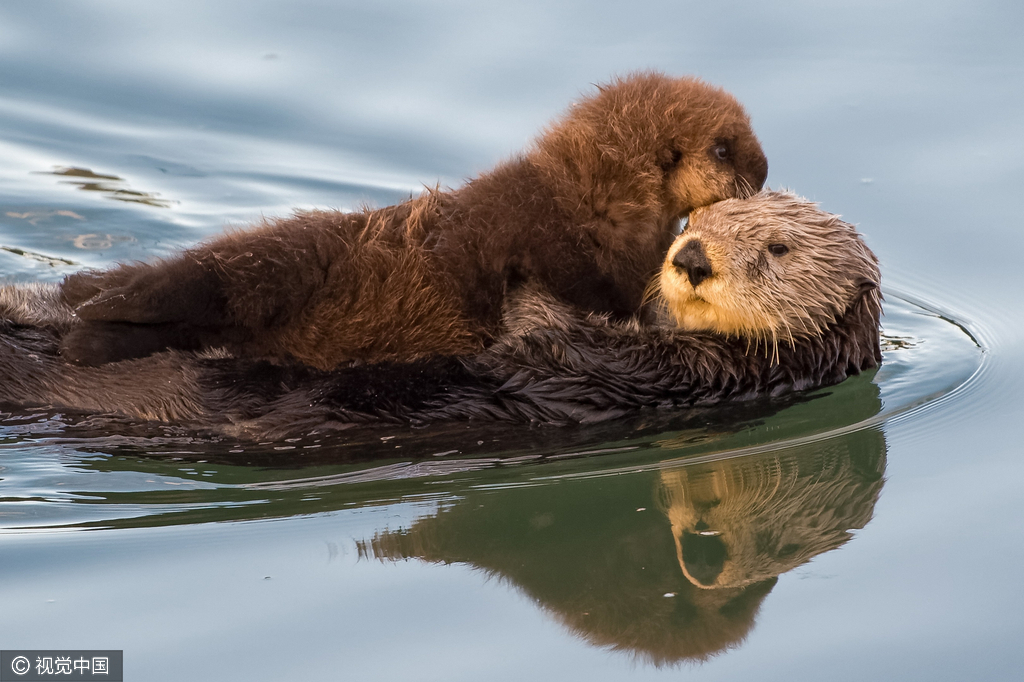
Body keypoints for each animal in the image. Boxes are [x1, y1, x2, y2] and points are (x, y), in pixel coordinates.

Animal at [61, 72, 770, 368]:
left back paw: (83, 294)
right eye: (724, 149)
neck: (595, 199)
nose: (763, 171)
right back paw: (94, 321)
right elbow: (600, 296)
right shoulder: (578, 254)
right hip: (271, 270)